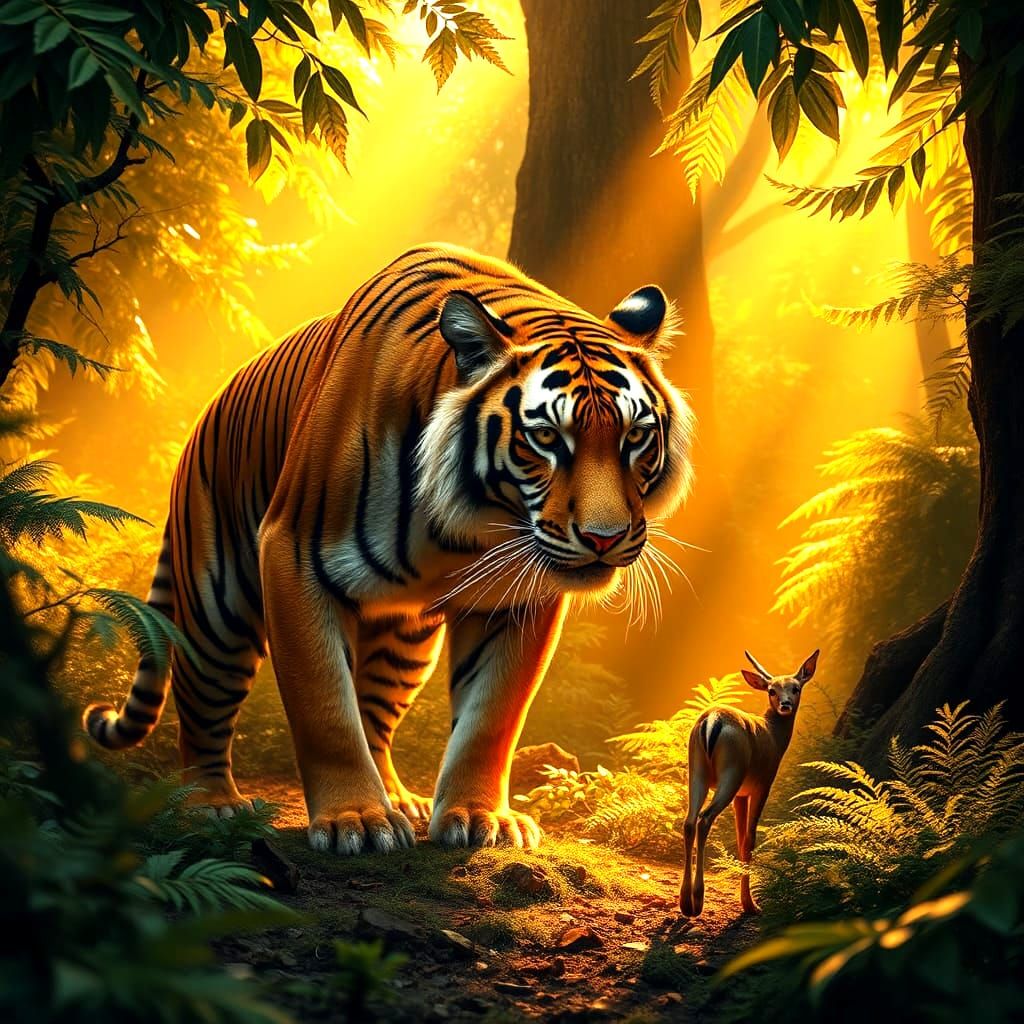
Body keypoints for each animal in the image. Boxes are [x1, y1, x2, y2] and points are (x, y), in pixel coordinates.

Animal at [84, 244, 695, 855]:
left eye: (635, 436)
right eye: (545, 437)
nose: (603, 537)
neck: (471, 524)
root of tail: (203, 417)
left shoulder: (521, 597)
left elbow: (492, 716)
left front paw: (480, 817)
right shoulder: (291, 554)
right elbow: (325, 707)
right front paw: (353, 820)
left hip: (406, 642)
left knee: (374, 713)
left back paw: (397, 799)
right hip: (218, 608)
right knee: (204, 704)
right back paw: (212, 804)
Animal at [679, 648, 820, 917]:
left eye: (795, 687)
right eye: (772, 690)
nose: (785, 704)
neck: (774, 736)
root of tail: (711, 720)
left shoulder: (741, 795)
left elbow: (740, 836)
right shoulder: (762, 784)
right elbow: (749, 839)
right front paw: (751, 905)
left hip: (697, 770)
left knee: (689, 821)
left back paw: (685, 904)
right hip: (732, 772)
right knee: (704, 818)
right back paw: (698, 901)